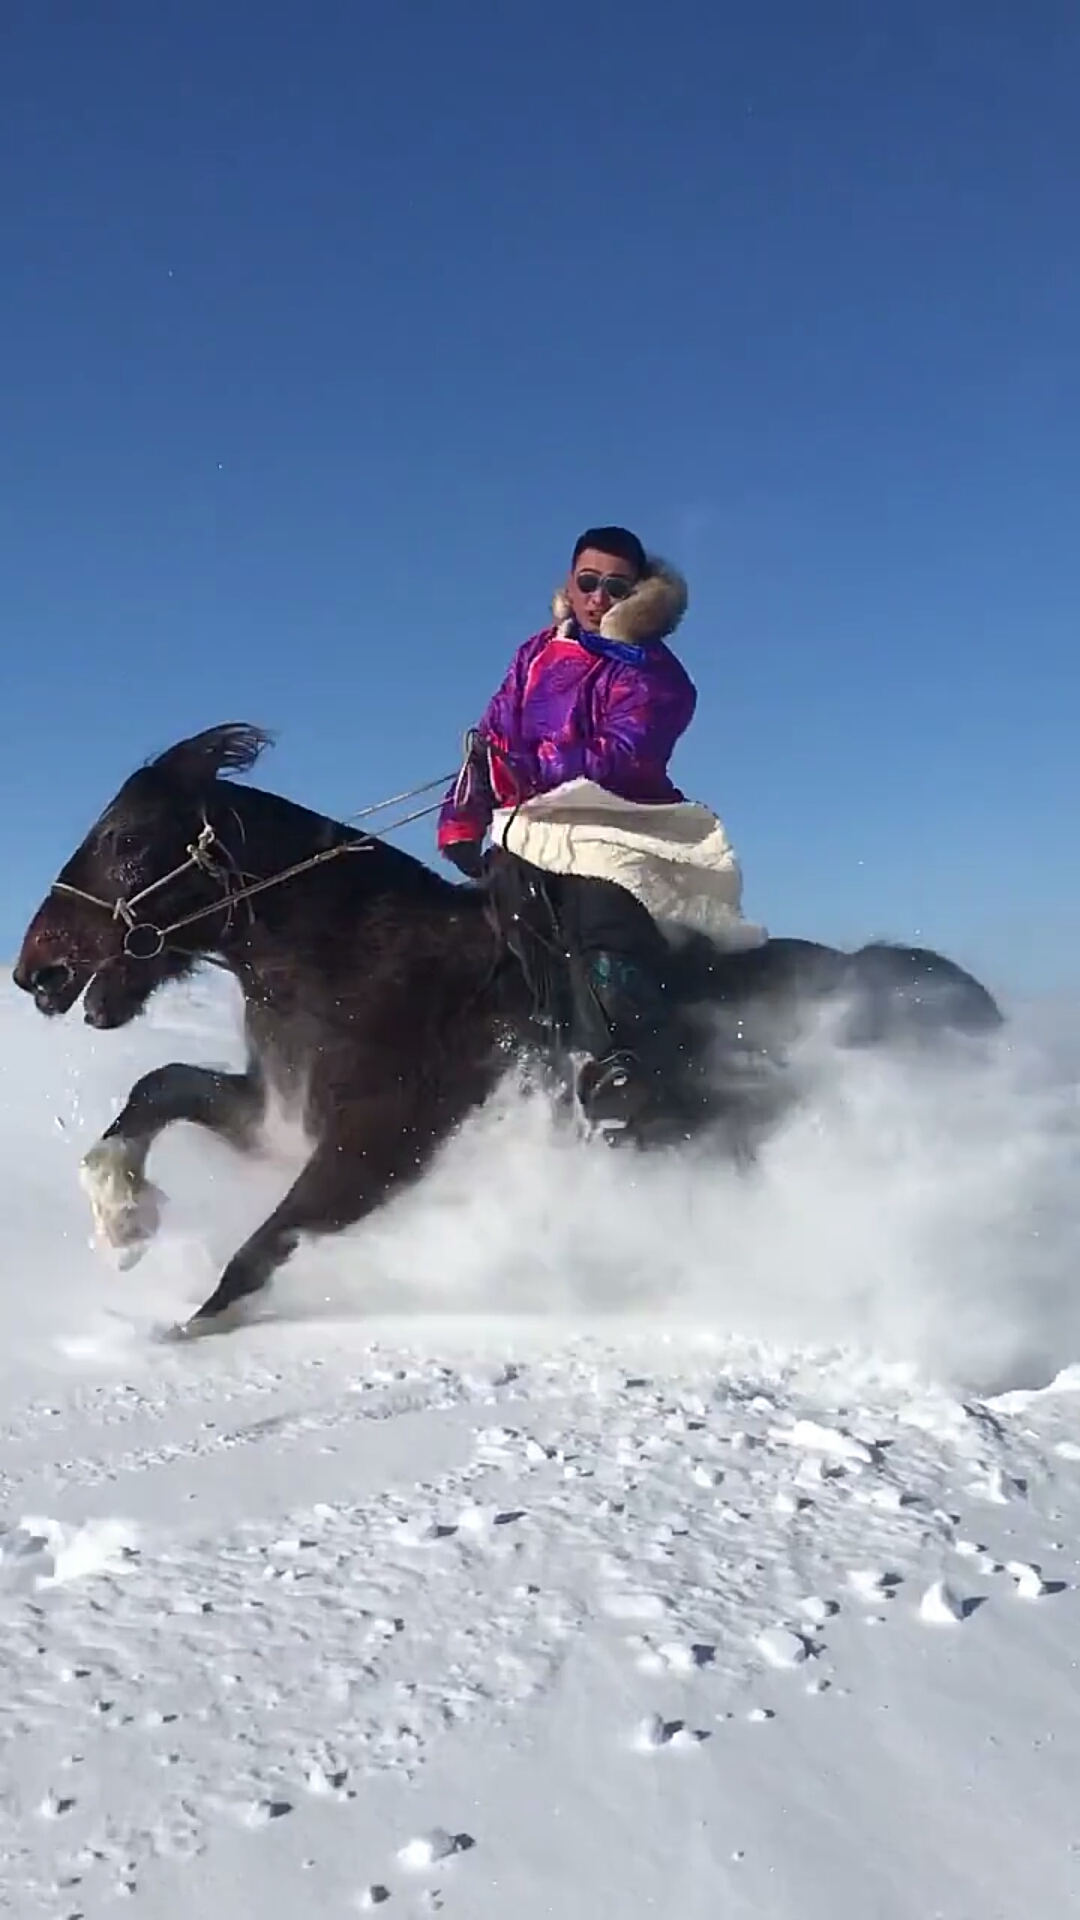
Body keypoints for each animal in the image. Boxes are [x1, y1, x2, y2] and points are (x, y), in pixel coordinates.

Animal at [12, 724, 1003, 1336]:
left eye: (129, 841)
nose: (37, 972)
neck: (358, 960)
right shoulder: (277, 1112)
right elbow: (160, 1087)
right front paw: (122, 1220)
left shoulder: (380, 1141)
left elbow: (273, 1236)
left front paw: (178, 1325)